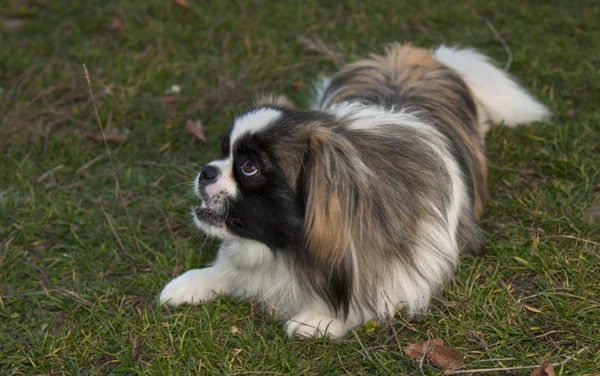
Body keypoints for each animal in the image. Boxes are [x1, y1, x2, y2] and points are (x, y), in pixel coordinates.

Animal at [158, 43, 548, 338]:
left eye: (249, 167)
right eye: (224, 151)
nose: (206, 171)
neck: (288, 251)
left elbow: (371, 293)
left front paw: (321, 318)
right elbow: (225, 268)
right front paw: (191, 283)